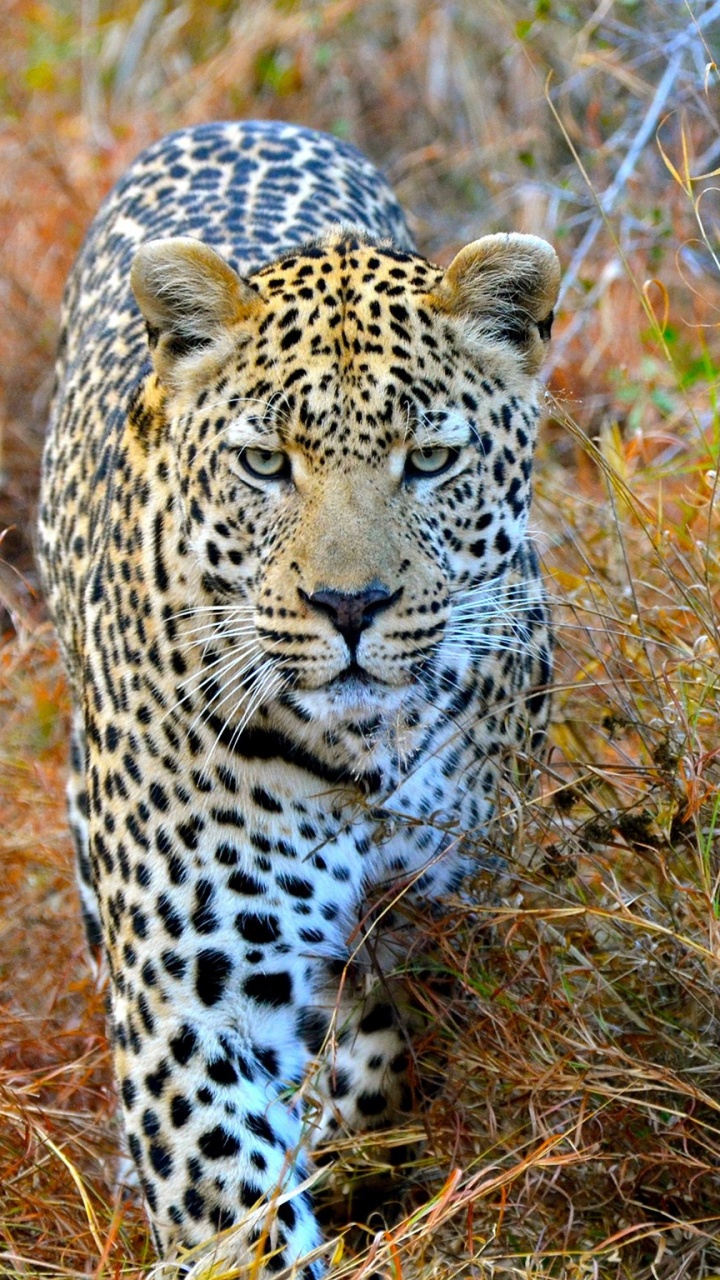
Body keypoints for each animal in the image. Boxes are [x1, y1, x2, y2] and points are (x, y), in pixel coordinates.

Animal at [38, 120, 560, 1276]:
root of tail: (233, 123)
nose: (349, 604)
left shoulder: (468, 900)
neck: (362, 752)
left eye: (431, 458)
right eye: (266, 463)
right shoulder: (192, 1000)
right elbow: (235, 1208)